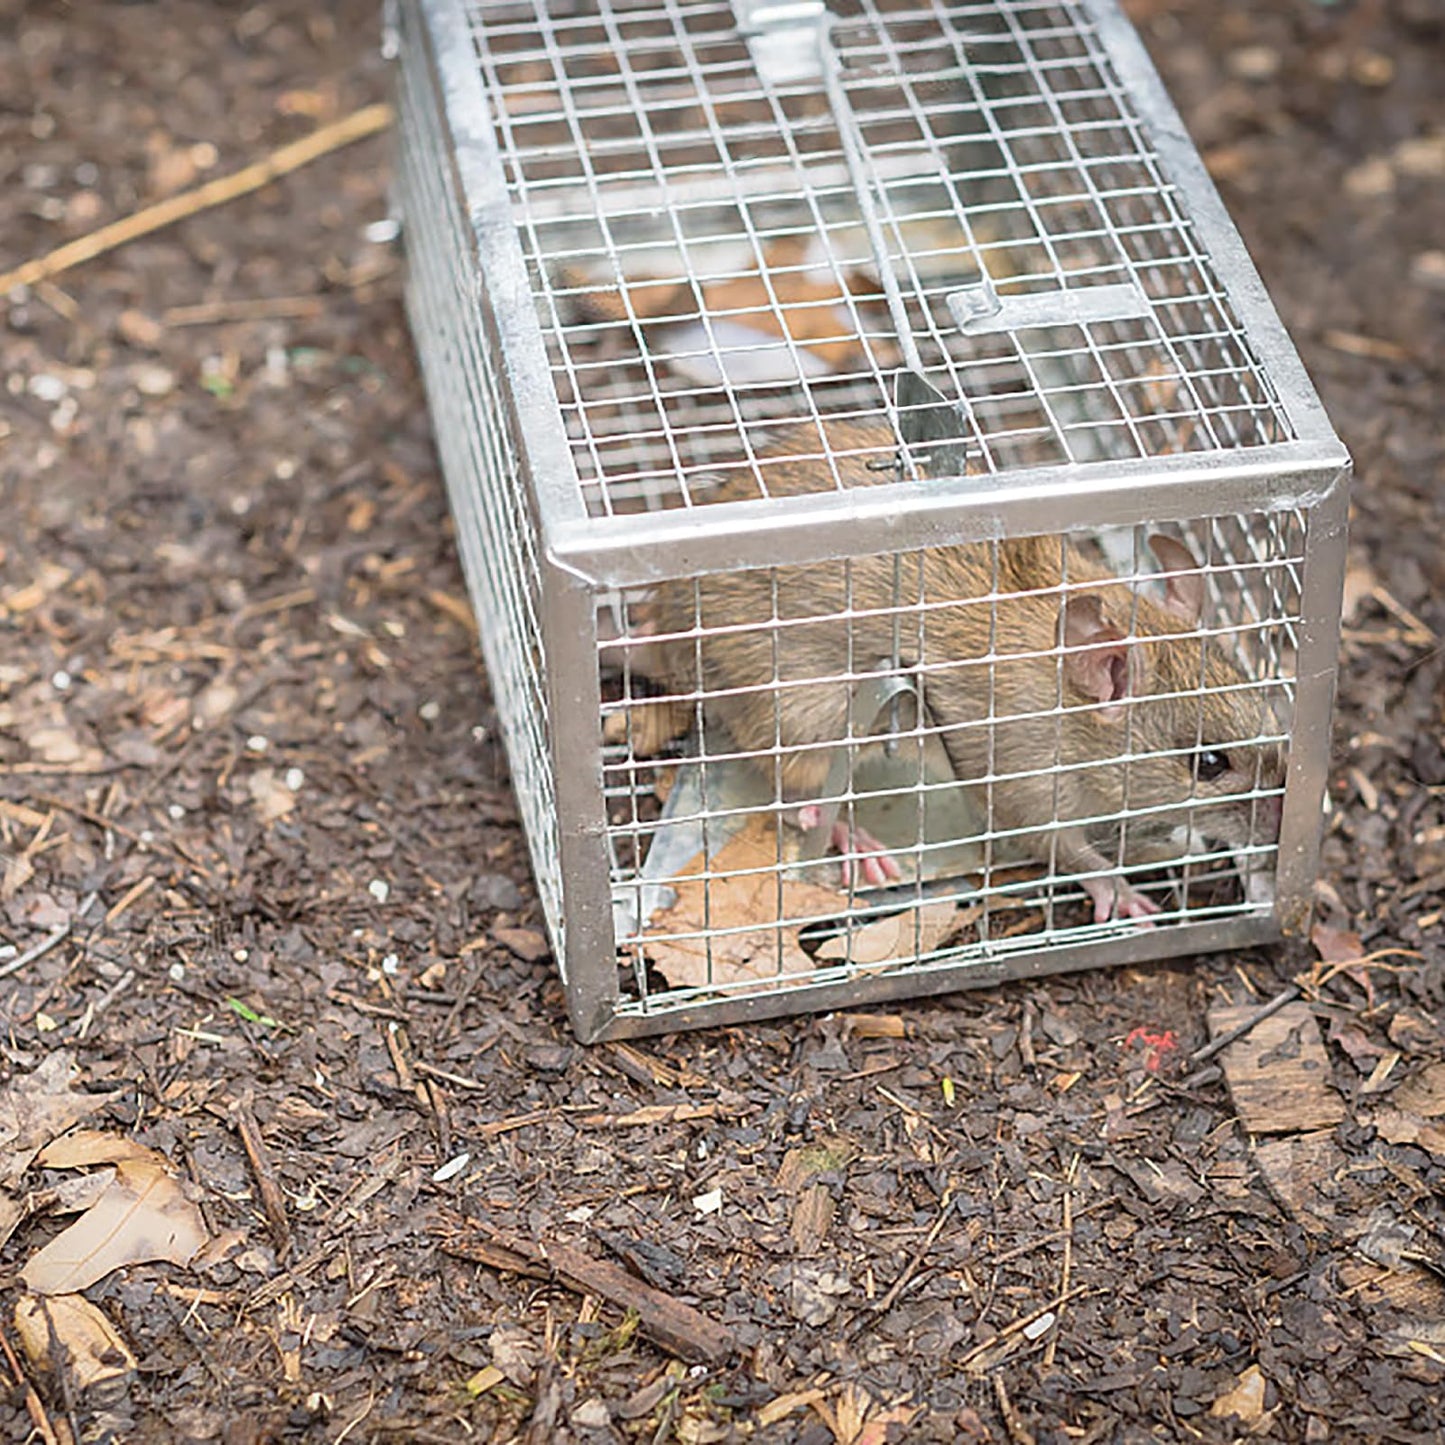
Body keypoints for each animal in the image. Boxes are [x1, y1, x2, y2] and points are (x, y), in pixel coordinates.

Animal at [627, 419, 1286, 921]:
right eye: (1209, 764)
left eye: (1270, 713)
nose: (1283, 827)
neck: (1066, 707)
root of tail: (665, 627)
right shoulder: (1020, 790)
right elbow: (1069, 855)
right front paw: (1123, 894)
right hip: (804, 713)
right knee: (794, 792)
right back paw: (850, 837)